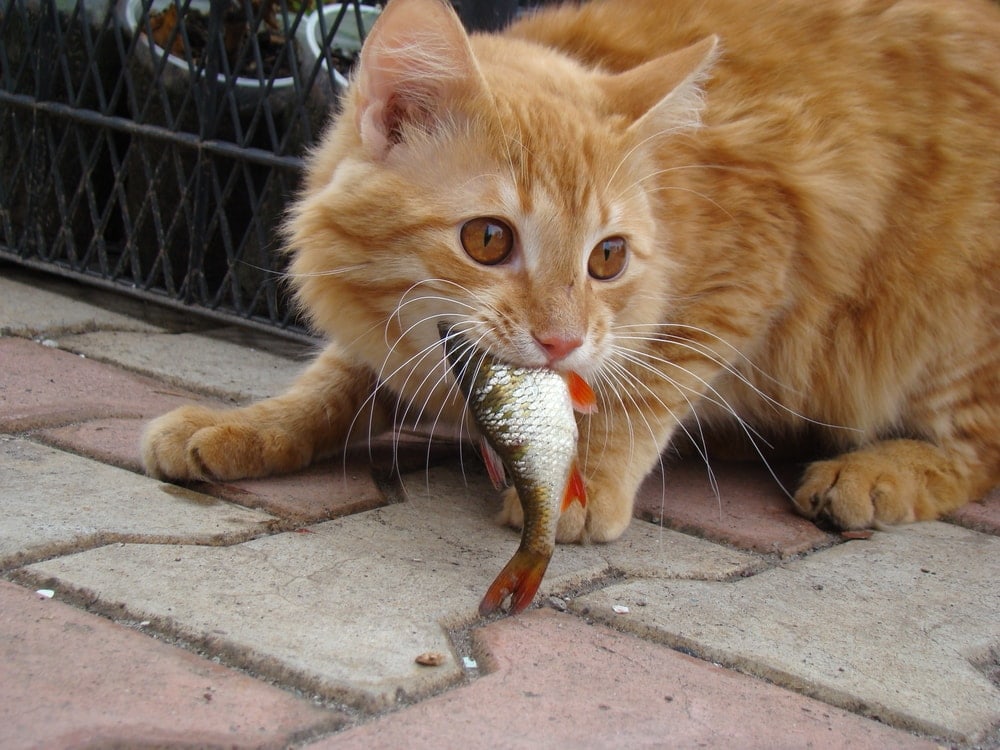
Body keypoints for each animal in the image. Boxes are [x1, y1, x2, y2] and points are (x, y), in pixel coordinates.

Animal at [143, 0, 1000, 540]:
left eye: (607, 258)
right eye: (488, 240)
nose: (560, 343)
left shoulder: (757, 259)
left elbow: (648, 387)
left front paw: (584, 483)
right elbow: (333, 382)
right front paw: (248, 425)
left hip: (946, 333)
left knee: (980, 455)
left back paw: (878, 475)